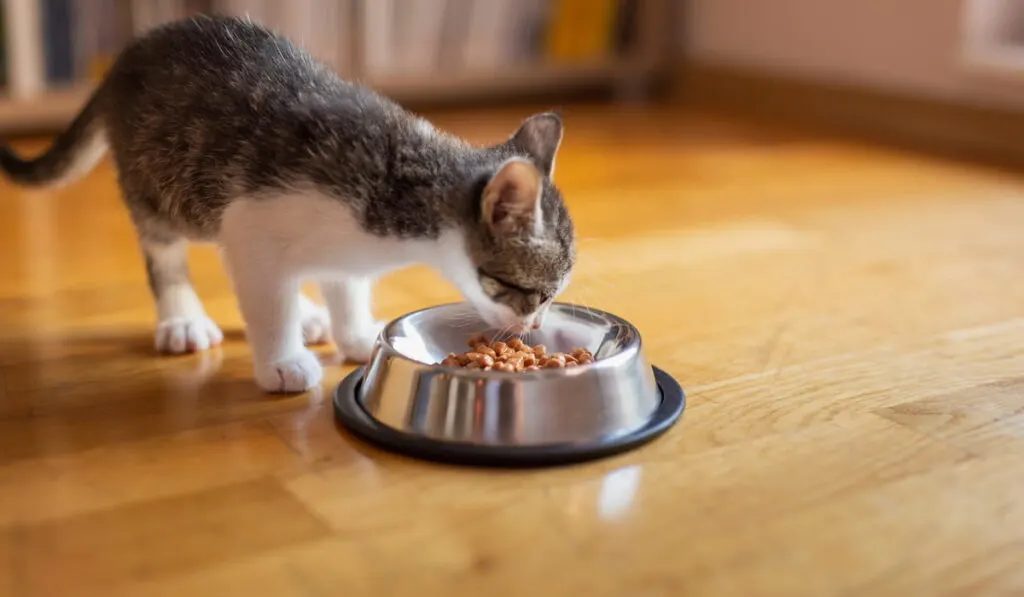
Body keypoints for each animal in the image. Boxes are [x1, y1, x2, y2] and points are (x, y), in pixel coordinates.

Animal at [0, 15, 577, 393]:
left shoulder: (332, 244)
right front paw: (281, 361)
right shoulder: (253, 217)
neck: (402, 191)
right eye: (536, 293)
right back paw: (183, 318)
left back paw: (309, 313)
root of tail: (127, 55)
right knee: (166, 249)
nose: (533, 329)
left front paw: (352, 331)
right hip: (161, 182)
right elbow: (264, 294)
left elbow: (342, 283)